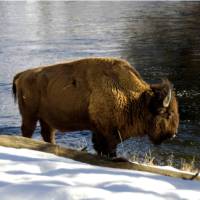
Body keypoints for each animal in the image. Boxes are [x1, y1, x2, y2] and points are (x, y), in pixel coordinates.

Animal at [12, 57, 179, 157]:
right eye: (168, 114)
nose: (173, 134)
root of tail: (22, 74)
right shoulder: (107, 133)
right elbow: (107, 149)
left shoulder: (101, 132)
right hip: (30, 116)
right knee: (27, 131)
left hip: (46, 119)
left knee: (47, 134)